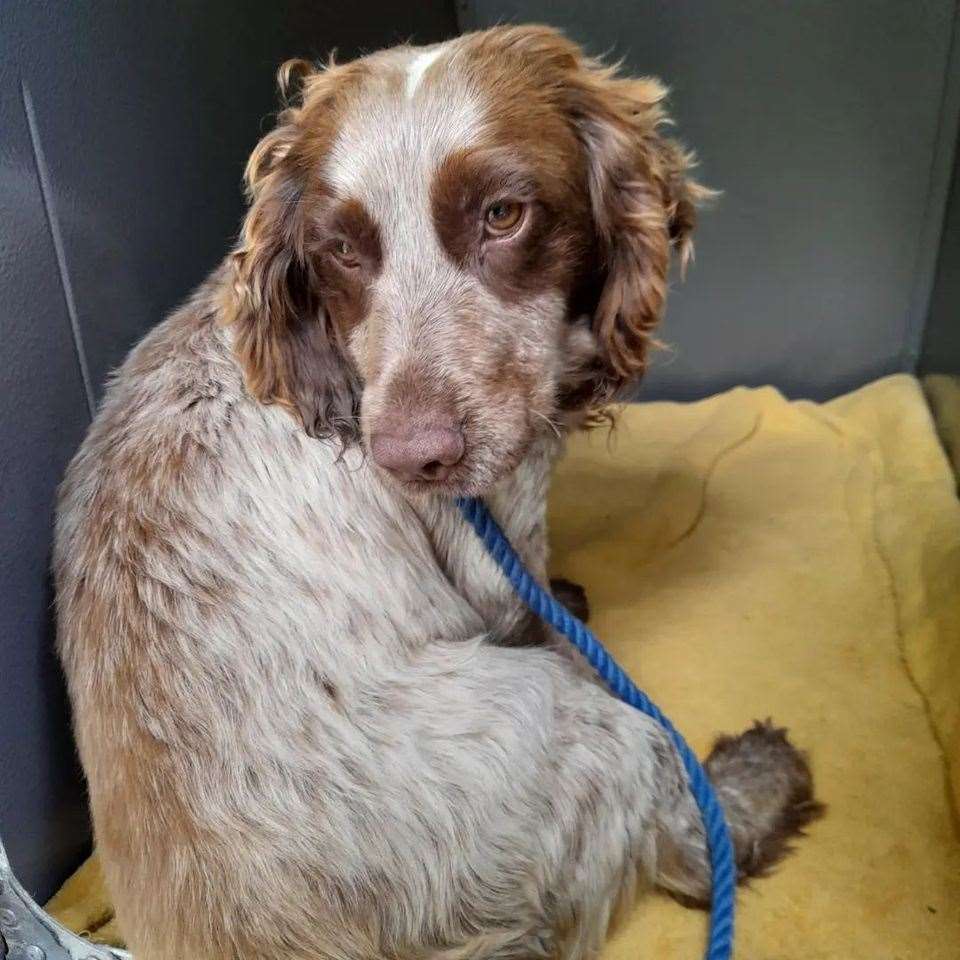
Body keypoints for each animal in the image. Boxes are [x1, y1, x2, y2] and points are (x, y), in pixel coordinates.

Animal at [52, 26, 820, 956]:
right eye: (342, 250)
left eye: (503, 215)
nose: (411, 459)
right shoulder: (503, 534)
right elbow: (546, 620)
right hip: (557, 727)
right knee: (685, 834)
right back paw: (756, 784)